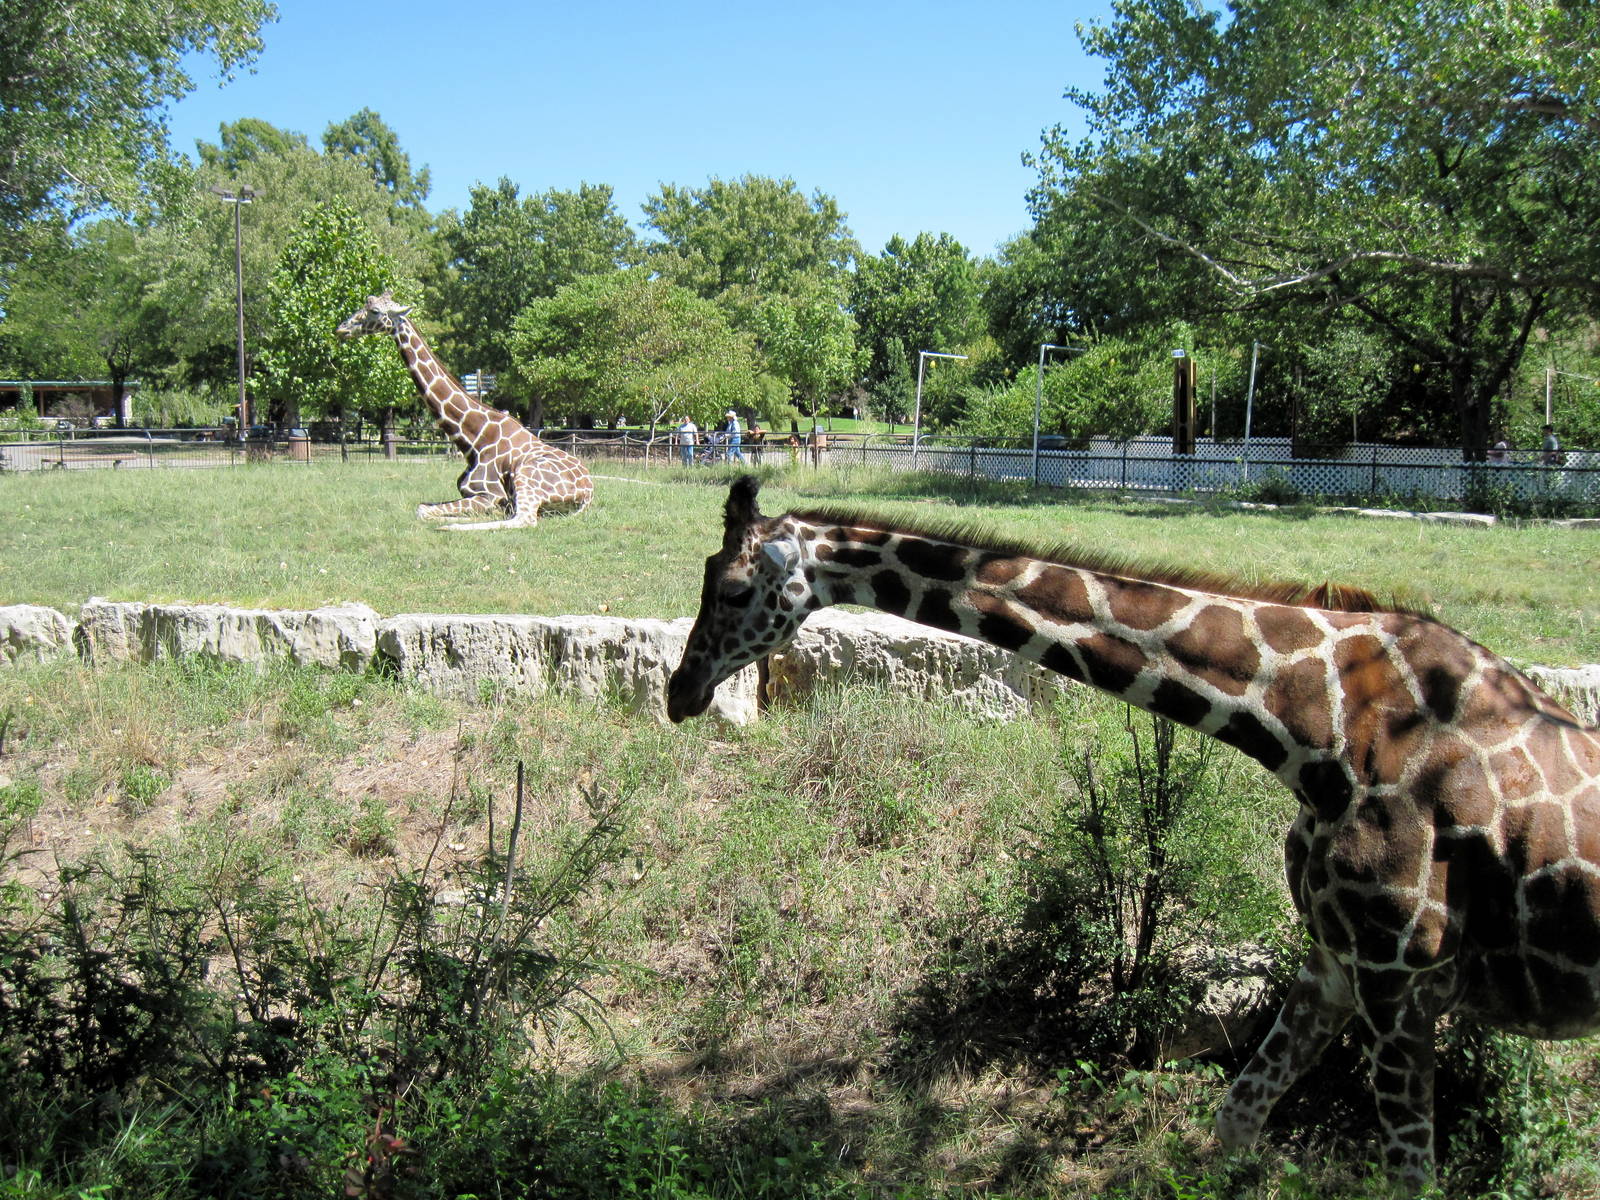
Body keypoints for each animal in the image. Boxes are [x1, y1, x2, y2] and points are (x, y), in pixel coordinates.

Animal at [335, 293, 592, 531]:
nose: (342, 328)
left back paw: (451, 526)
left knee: (524, 519)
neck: (473, 440)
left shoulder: (490, 495)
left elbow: (423, 510)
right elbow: (423, 507)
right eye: (367, 302)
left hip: (527, 476)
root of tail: (588, 493)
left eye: (375, 311)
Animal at [665, 475, 1600, 1188]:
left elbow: (1410, 1174)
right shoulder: (1335, 961)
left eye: (735, 589)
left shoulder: (1400, 975)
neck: (1314, 729)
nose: (681, 693)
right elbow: (1233, 1123)